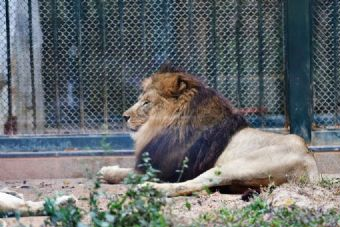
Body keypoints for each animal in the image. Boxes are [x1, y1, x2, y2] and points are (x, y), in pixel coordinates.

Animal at [99, 64, 318, 197]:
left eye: (146, 102)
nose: (124, 116)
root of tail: (310, 163)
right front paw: (107, 172)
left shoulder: (169, 170)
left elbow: (130, 173)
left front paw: (109, 171)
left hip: (233, 166)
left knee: (189, 185)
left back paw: (149, 189)